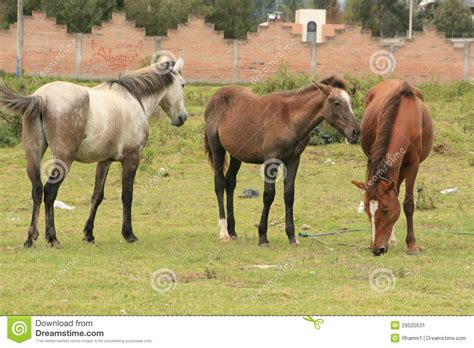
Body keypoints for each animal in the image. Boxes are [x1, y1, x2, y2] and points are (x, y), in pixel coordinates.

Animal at [0, 56, 189, 247]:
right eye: (182, 85)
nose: (182, 117)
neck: (134, 99)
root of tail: (41, 97)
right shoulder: (132, 158)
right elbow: (127, 195)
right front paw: (128, 234)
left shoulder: (104, 161)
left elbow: (97, 196)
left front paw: (89, 234)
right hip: (63, 159)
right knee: (50, 192)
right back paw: (52, 237)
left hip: (33, 154)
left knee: (37, 190)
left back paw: (31, 238)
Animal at [204, 75, 360, 246]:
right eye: (337, 103)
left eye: (350, 102)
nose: (355, 132)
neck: (288, 119)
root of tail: (215, 97)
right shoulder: (271, 160)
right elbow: (268, 195)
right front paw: (262, 236)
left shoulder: (293, 160)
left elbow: (289, 195)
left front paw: (292, 236)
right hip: (217, 147)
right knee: (219, 183)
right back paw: (224, 232)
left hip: (236, 155)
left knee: (230, 183)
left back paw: (232, 231)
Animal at [352, 80, 434, 256]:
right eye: (367, 210)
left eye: (386, 209)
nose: (376, 249)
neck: (405, 119)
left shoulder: (412, 164)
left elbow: (408, 204)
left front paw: (412, 245)